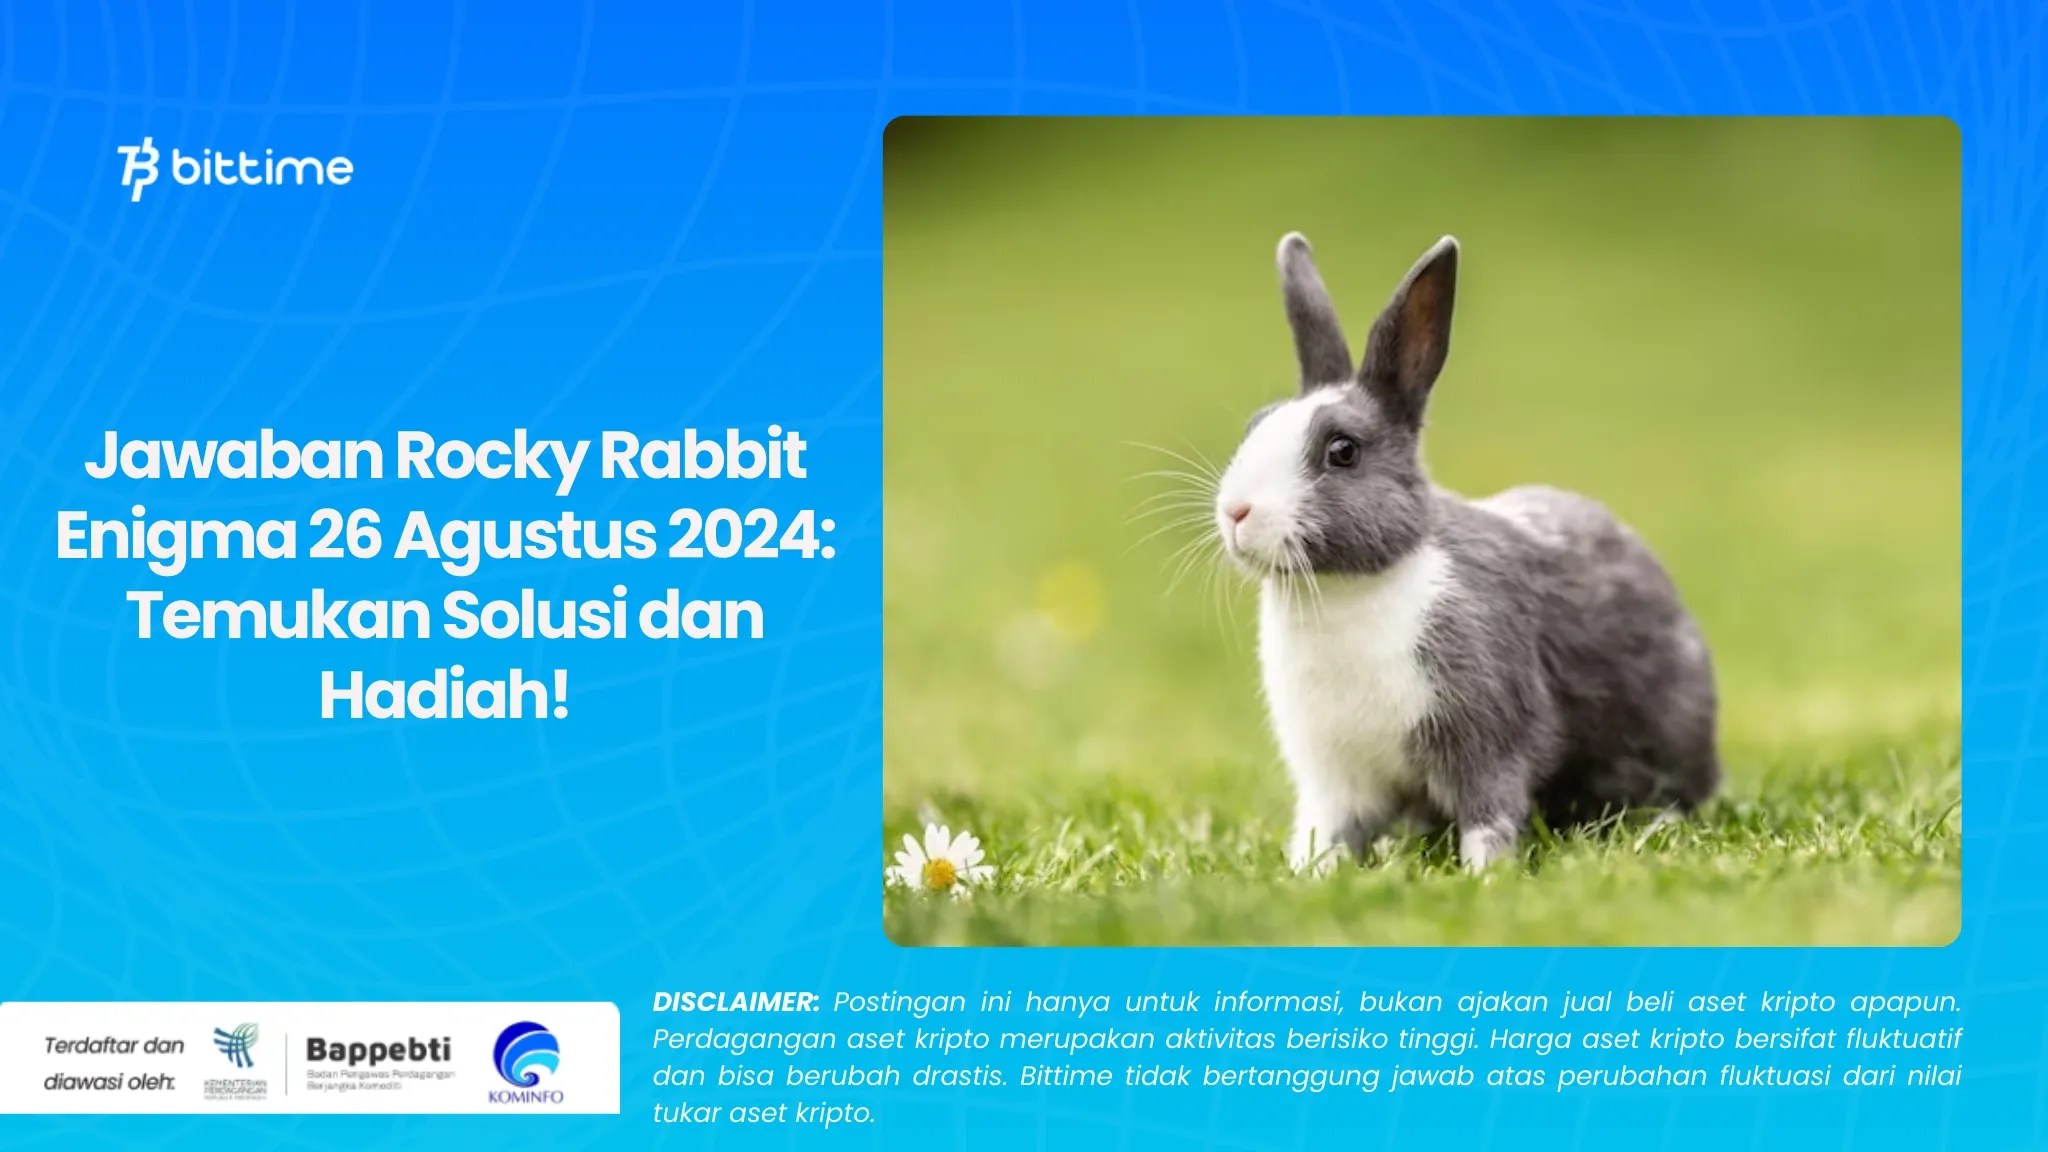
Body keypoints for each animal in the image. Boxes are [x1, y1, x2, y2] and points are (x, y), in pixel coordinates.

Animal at [1212, 233, 1719, 874]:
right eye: (1255, 425)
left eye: (1343, 450)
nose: (1236, 512)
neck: (1346, 588)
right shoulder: (1335, 776)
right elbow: (1326, 831)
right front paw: (1308, 874)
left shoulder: (1487, 735)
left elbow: (1489, 814)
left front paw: (1484, 876)